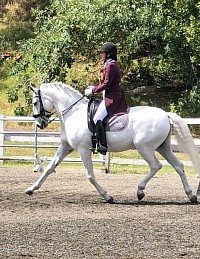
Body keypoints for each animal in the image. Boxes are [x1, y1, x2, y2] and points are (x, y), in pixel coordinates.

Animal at [25, 82, 200, 204]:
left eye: (35, 103)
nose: (40, 124)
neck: (73, 113)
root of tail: (165, 114)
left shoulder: (83, 150)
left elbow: (90, 175)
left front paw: (107, 196)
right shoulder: (65, 147)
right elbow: (49, 168)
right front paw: (31, 189)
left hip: (145, 148)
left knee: (156, 166)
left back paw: (140, 191)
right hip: (163, 147)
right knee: (179, 166)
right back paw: (190, 195)